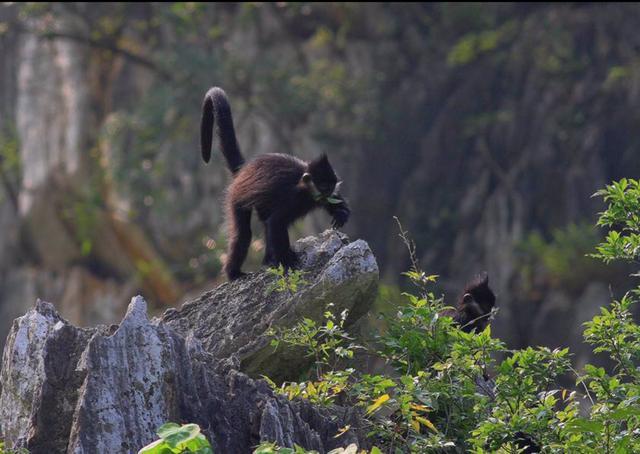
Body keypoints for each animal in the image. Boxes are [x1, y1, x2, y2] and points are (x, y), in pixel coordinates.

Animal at [200, 87, 350, 280]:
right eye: (323, 187)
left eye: (331, 186)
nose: (327, 192)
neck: (304, 188)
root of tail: (244, 170)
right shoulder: (293, 198)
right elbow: (276, 223)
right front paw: (287, 261)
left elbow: (335, 202)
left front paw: (341, 213)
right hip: (237, 197)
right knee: (244, 234)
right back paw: (234, 273)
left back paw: (267, 261)